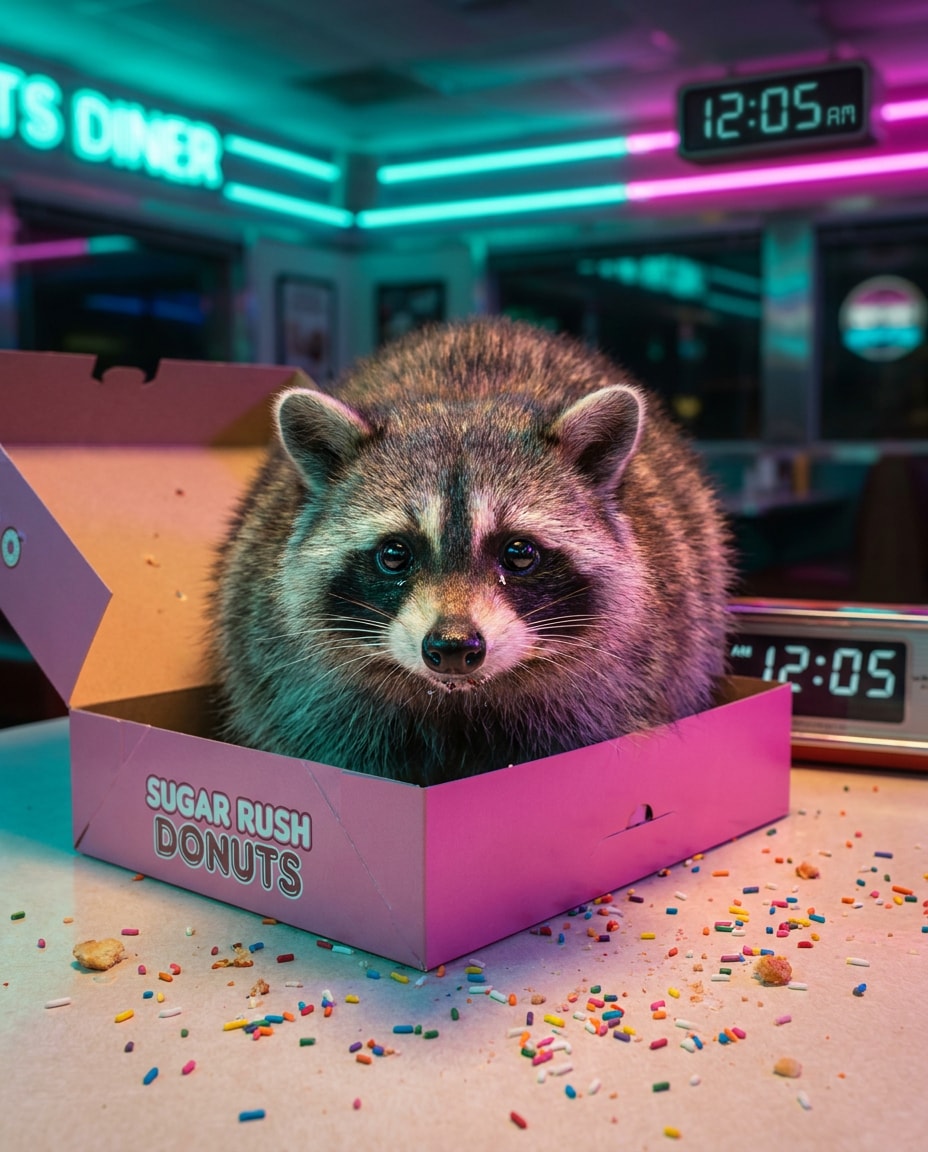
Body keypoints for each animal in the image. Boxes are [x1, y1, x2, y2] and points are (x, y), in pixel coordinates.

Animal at [209, 317, 732, 785]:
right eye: (395, 554)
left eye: (519, 553)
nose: (454, 648)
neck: (458, 701)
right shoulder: (299, 689)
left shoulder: (621, 685)